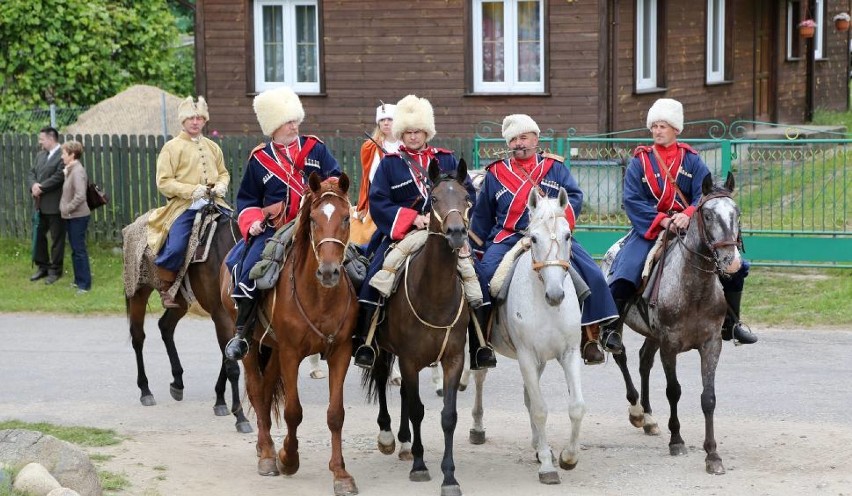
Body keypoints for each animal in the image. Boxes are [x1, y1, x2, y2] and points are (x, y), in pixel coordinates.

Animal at [121, 202, 251, 434]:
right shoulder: (221, 316)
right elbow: (232, 366)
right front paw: (240, 417)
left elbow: (227, 356)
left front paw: (220, 401)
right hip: (138, 291)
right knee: (138, 337)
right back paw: (145, 390)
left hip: (180, 300)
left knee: (165, 326)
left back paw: (177, 382)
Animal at [221, 172, 358, 494]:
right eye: (314, 220)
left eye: (346, 218)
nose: (329, 272)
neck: (320, 297)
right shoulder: (291, 354)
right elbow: (293, 411)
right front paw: (288, 458)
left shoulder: (340, 352)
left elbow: (336, 414)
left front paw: (340, 473)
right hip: (251, 344)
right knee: (256, 390)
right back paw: (267, 454)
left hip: (272, 349)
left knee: (266, 389)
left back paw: (267, 447)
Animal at [362, 158, 472, 496]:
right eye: (433, 199)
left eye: (466, 197)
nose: (456, 233)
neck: (434, 294)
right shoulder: (410, 360)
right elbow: (417, 409)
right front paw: (421, 466)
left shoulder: (453, 359)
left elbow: (448, 416)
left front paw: (449, 476)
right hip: (382, 348)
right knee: (383, 379)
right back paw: (388, 435)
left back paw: (404, 442)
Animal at [466, 187, 584, 484]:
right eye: (534, 238)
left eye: (568, 235)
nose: (556, 295)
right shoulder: (526, 356)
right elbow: (540, 409)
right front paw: (547, 466)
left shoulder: (569, 353)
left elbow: (575, 406)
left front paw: (567, 457)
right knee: (479, 377)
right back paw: (478, 427)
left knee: (529, 397)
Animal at [600, 172, 744, 474]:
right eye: (708, 215)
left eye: (736, 213)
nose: (731, 261)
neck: (695, 289)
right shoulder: (669, 344)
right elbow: (673, 390)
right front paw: (676, 440)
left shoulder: (711, 343)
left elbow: (708, 397)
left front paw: (712, 455)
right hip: (621, 323)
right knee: (621, 356)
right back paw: (637, 411)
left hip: (652, 335)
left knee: (644, 361)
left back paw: (649, 418)